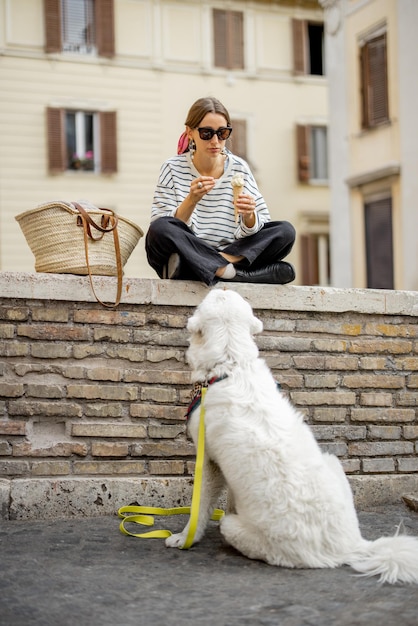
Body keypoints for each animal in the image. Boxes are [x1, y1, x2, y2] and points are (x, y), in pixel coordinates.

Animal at [167, 288, 418, 580]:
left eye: (212, 298)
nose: (224, 286)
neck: (232, 364)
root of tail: (352, 547)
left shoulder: (208, 463)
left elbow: (201, 507)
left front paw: (184, 537)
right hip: (332, 462)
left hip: (238, 529)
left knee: (231, 526)